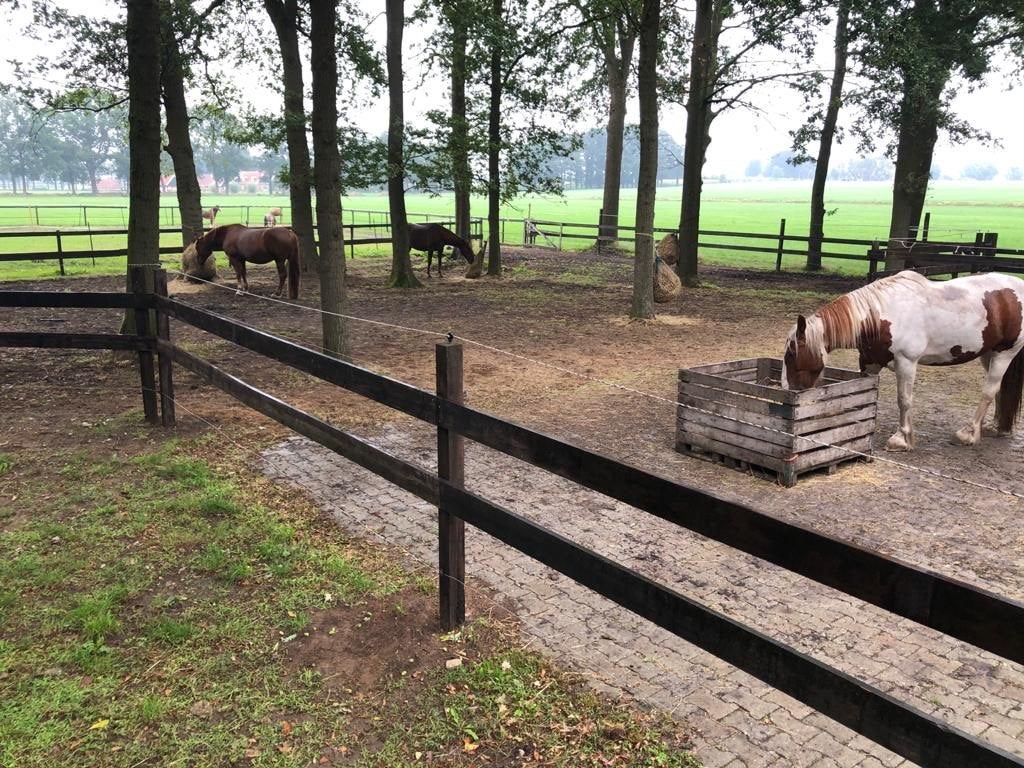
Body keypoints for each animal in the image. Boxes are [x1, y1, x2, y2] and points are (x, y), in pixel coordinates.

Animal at [782, 270, 1024, 451]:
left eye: (791, 354)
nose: (789, 392)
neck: (879, 316)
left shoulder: (906, 362)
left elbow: (904, 400)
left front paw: (902, 439)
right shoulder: (869, 363)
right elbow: (864, 395)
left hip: (1004, 353)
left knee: (989, 391)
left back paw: (969, 434)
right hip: (988, 353)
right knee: (999, 390)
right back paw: (993, 425)